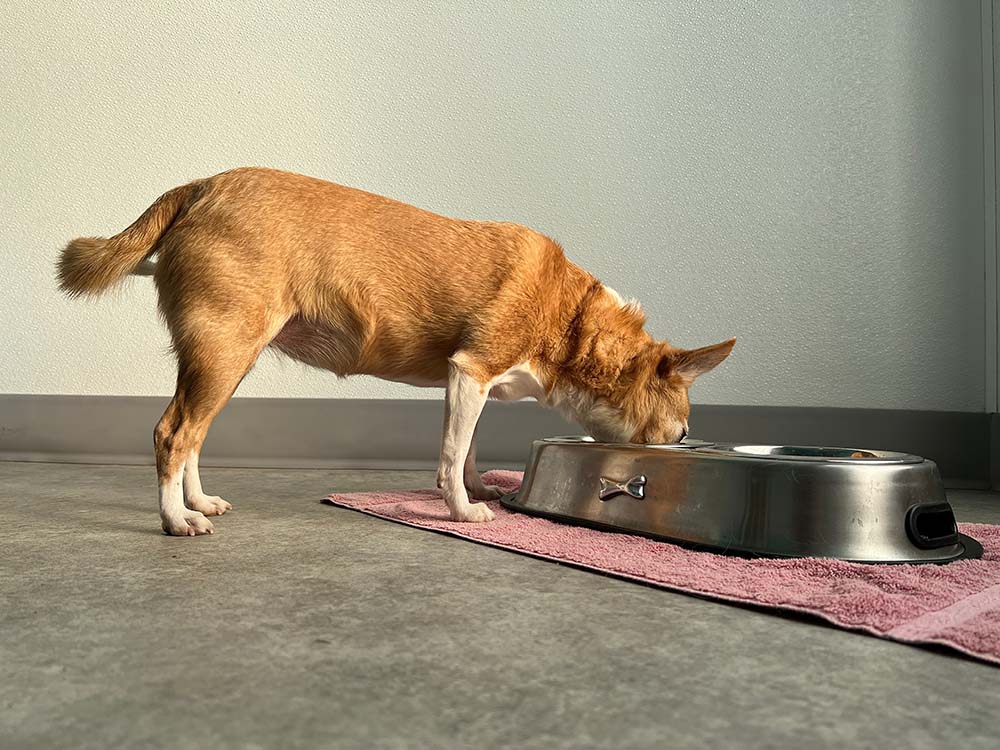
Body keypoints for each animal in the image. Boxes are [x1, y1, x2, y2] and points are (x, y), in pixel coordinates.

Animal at [60, 168, 736, 536]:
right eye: (681, 431)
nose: (684, 443)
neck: (571, 320)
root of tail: (200, 186)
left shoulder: (464, 384)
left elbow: (465, 449)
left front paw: (477, 490)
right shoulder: (472, 371)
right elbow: (452, 454)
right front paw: (464, 511)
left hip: (224, 359)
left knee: (194, 434)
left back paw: (198, 502)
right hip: (224, 351)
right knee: (173, 433)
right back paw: (177, 520)